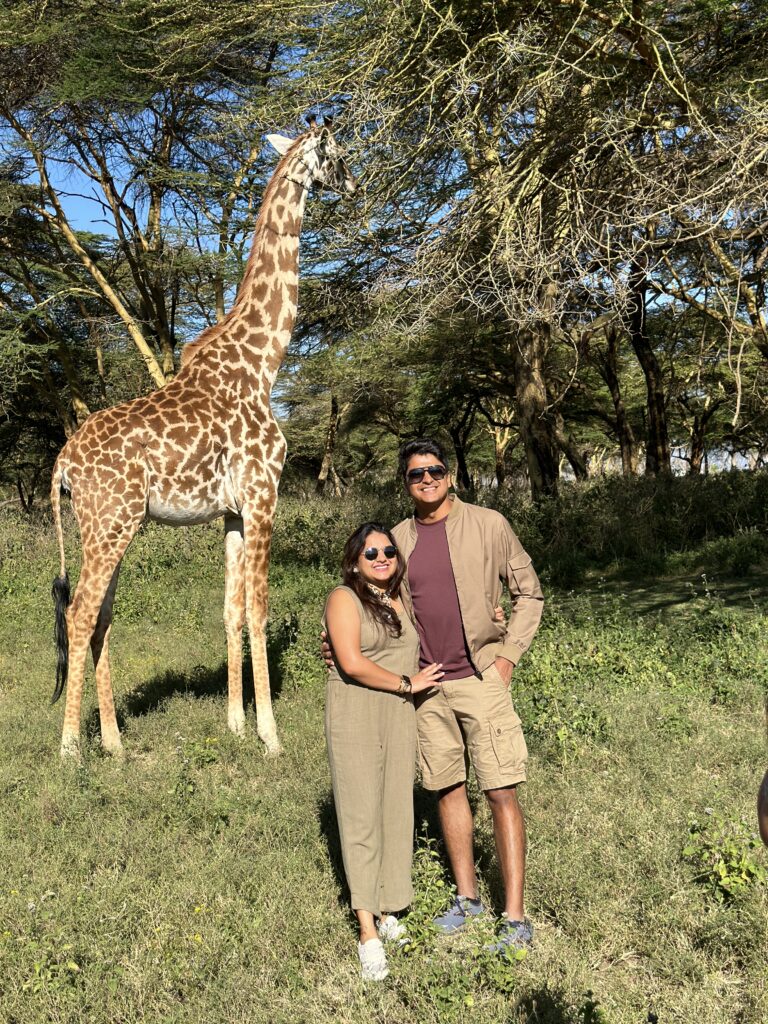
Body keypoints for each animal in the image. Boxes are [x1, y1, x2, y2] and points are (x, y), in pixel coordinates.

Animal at [51, 121, 358, 761]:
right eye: (340, 153)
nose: (355, 183)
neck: (264, 362)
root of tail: (63, 462)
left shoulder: (233, 511)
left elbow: (230, 611)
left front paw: (236, 722)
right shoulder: (264, 496)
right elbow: (260, 610)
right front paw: (270, 735)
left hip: (109, 526)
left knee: (101, 614)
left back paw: (115, 743)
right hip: (111, 520)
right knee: (80, 613)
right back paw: (71, 748)